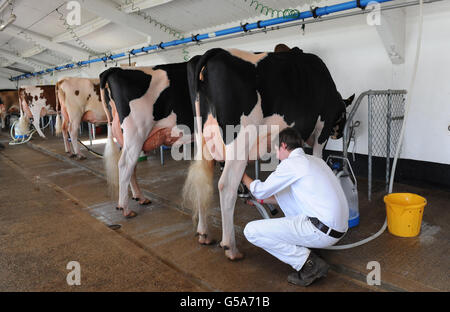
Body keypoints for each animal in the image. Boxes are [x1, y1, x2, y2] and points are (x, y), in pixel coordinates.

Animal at [99, 60, 196, 217]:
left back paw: (140, 198)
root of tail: (115, 70)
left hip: (129, 137)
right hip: (136, 132)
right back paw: (125, 208)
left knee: (131, 166)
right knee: (125, 164)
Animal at [183, 46, 356, 260]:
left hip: (202, 140)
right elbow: (316, 158)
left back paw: (204, 233)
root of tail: (215, 52)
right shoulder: (321, 131)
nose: (338, 133)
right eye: (343, 115)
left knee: (203, 181)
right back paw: (231, 247)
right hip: (239, 140)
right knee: (226, 186)